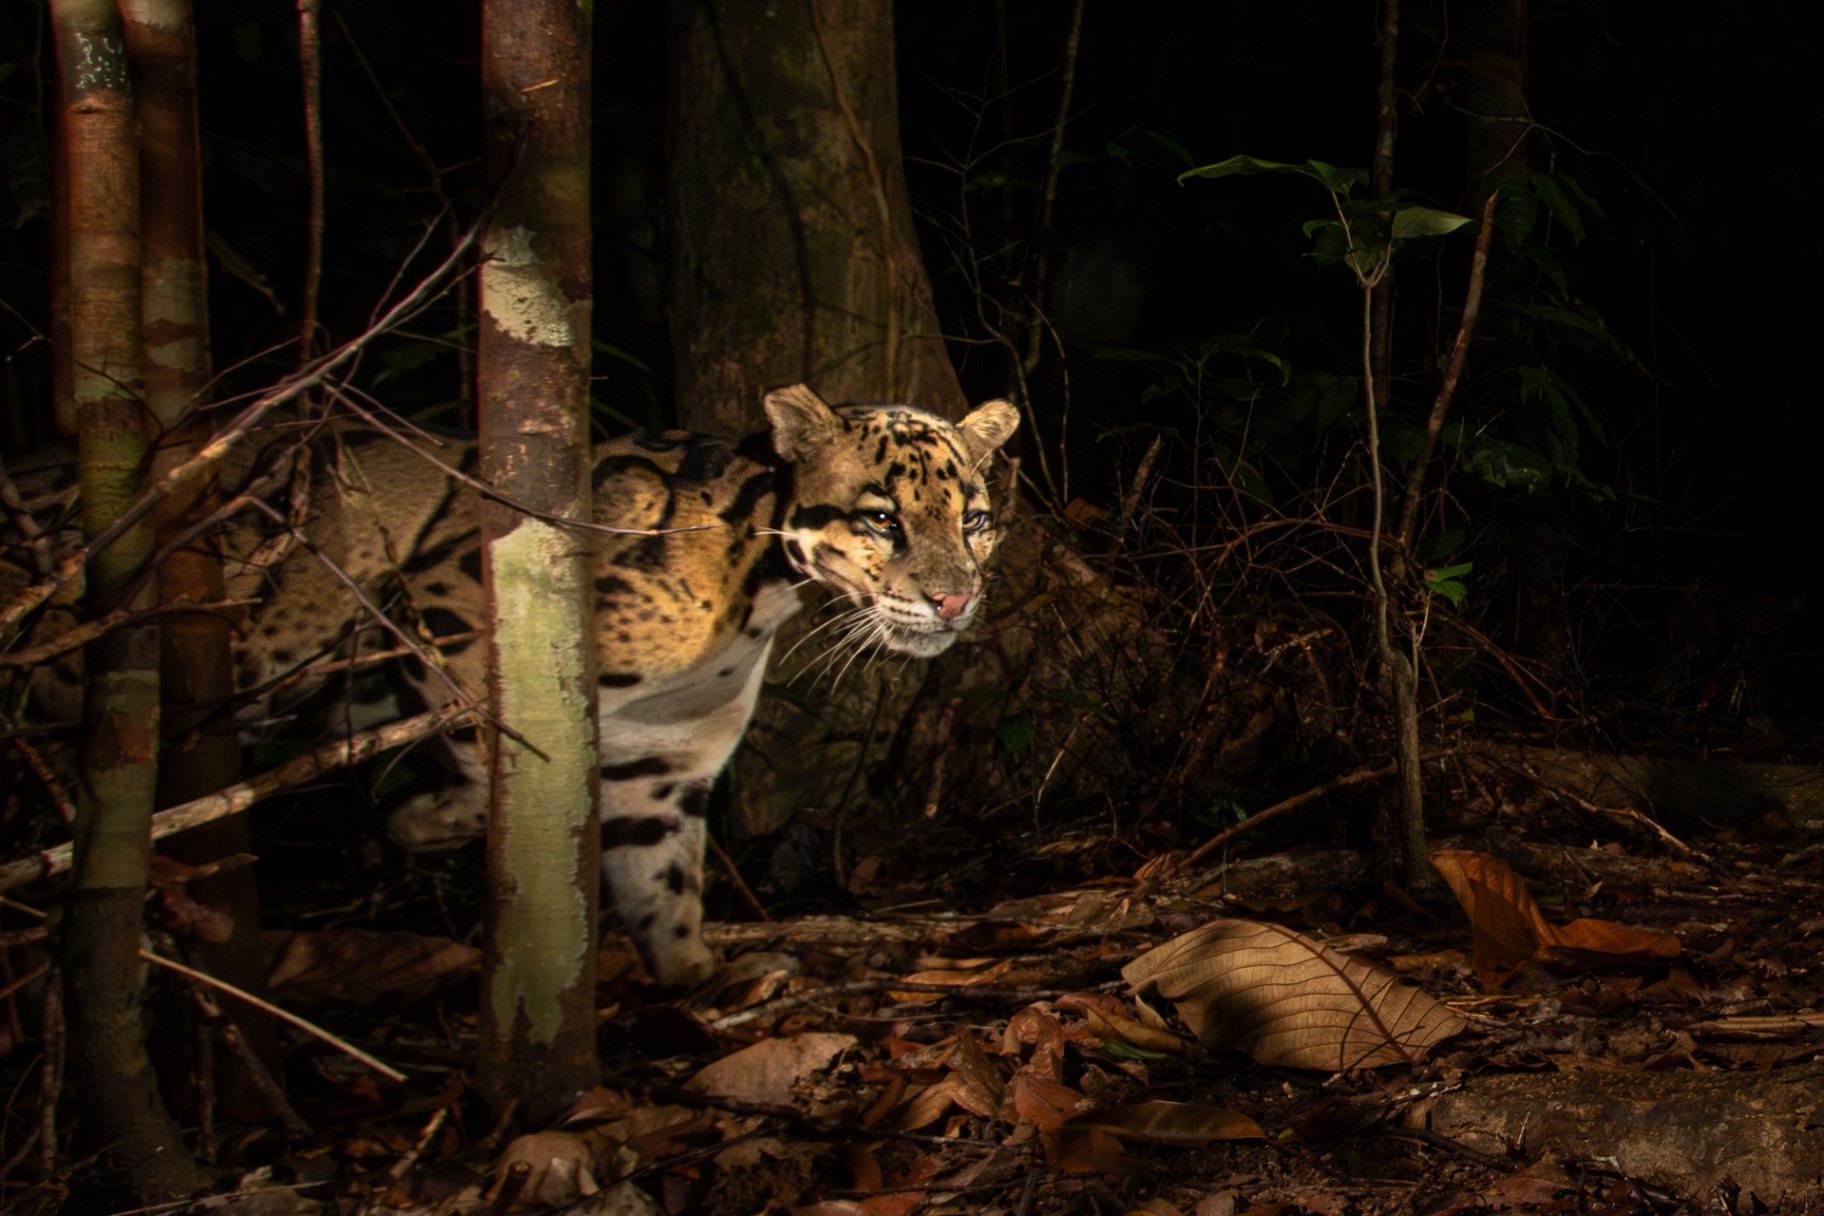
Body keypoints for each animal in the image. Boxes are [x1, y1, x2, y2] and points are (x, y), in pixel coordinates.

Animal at [220, 383, 1019, 986]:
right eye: (881, 519)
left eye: (975, 520)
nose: (955, 599)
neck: (756, 590)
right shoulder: (458, 605)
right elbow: (502, 773)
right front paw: (417, 822)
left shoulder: (663, 760)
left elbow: (661, 881)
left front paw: (694, 978)